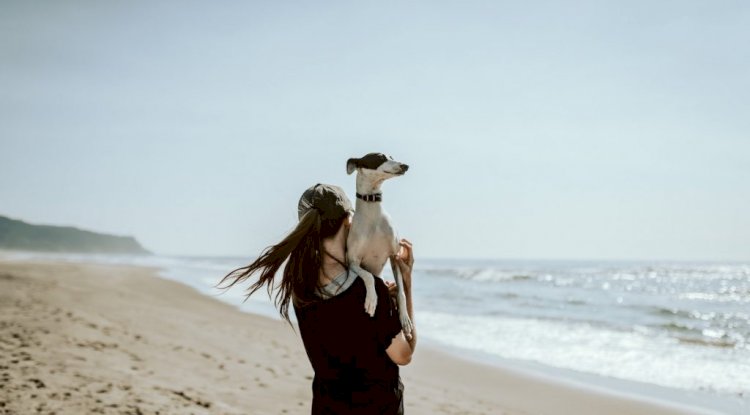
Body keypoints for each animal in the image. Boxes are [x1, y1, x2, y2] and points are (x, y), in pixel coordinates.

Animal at [348, 154, 418, 342]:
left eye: (392, 157)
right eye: (379, 157)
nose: (405, 166)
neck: (373, 216)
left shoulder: (394, 256)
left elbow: (401, 293)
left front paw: (405, 320)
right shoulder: (352, 262)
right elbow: (369, 277)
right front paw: (372, 300)